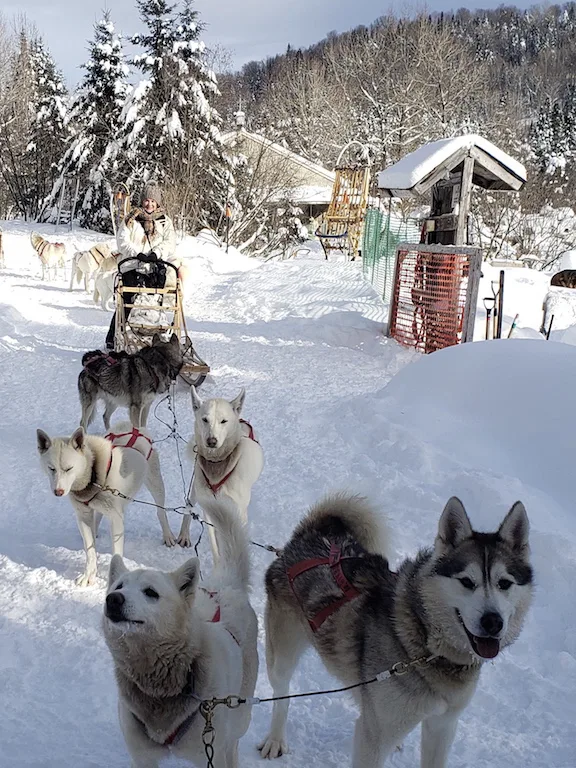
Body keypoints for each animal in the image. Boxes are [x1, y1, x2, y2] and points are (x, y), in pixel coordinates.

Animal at [36, 424, 176, 584]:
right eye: (51, 468)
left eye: (69, 468)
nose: (58, 492)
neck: (92, 477)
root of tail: (133, 428)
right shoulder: (83, 516)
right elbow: (90, 551)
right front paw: (88, 575)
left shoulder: (116, 519)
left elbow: (116, 553)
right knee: (98, 515)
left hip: (155, 483)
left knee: (161, 511)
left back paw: (168, 535)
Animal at [102, 498, 258, 768]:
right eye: (119, 586)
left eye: (150, 592)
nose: (113, 599)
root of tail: (227, 584)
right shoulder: (142, 758)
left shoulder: (211, 753)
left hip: (239, 717)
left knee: (233, 745)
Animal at [177, 388, 264, 560]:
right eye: (205, 419)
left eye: (224, 421)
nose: (211, 441)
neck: (217, 465)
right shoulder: (209, 508)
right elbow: (215, 546)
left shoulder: (238, 511)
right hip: (196, 490)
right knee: (190, 506)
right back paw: (184, 535)